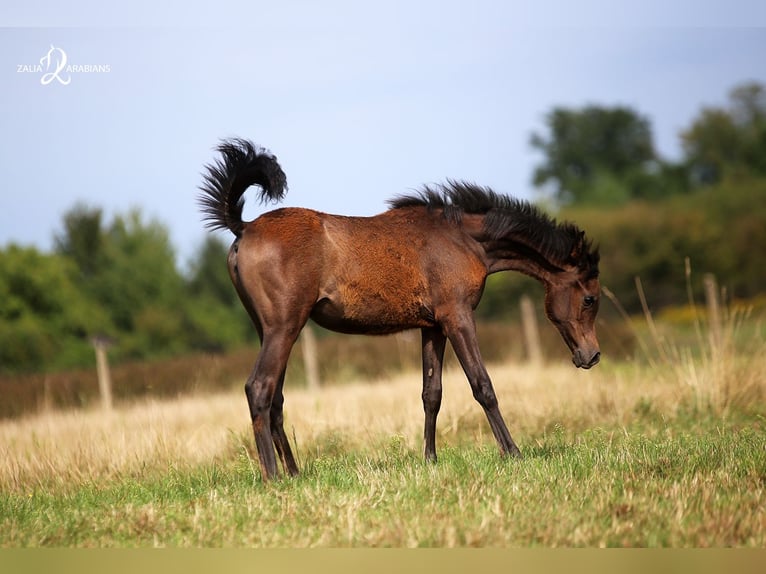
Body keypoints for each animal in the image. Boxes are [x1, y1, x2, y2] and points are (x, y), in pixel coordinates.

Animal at [196, 140, 600, 482]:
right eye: (590, 298)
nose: (592, 356)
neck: (462, 239)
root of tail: (243, 228)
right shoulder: (458, 317)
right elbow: (483, 385)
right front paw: (513, 452)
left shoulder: (432, 326)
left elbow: (431, 393)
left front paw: (430, 459)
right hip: (283, 328)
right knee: (259, 388)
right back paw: (273, 479)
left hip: (271, 331)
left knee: (275, 398)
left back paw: (295, 474)